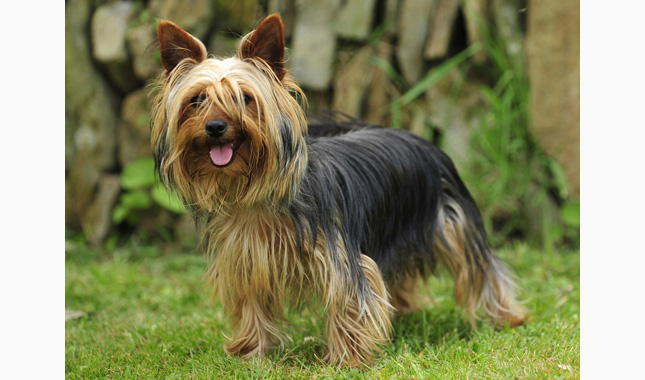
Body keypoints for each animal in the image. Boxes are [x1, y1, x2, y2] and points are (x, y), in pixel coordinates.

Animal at [151, 13, 524, 366]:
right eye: (197, 99)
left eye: (245, 98)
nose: (216, 127)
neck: (256, 197)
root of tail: (417, 136)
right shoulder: (246, 258)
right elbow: (252, 304)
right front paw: (251, 353)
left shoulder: (339, 257)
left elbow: (349, 301)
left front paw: (348, 359)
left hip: (451, 220)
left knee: (481, 268)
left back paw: (508, 317)